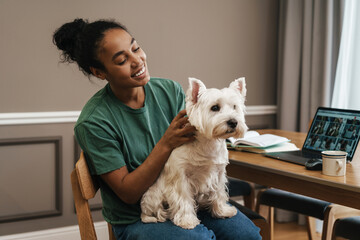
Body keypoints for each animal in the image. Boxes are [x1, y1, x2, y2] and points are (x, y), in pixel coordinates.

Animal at [141, 78, 248, 230]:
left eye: (234, 107)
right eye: (215, 107)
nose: (233, 122)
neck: (208, 144)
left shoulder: (218, 173)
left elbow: (219, 193)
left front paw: (222, 211)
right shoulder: (181, 178)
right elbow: (183, 199)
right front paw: (187, 221)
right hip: (153, 195)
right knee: (152, 211)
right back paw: (161, 216)